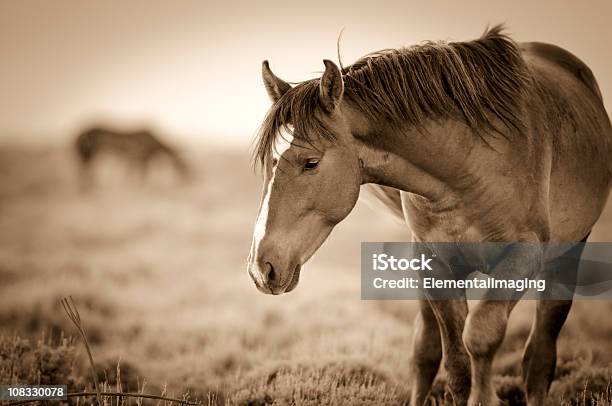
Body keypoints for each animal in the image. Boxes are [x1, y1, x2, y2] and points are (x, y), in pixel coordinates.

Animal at [245, 26, 612, 406]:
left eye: (311, 162)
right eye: (269, 162)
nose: (262, 268)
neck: (471, 166)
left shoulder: (523, 258)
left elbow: (481, 336)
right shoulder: (436, 265)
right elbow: (455, 364)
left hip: (566, 260)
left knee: (539, 356)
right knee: (425, 351)